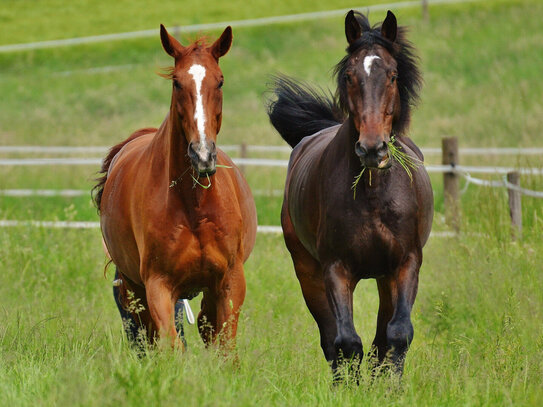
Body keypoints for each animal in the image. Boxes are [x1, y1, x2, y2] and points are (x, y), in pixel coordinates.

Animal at [94, 25, 258, 350]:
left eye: (220, 81)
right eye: (177, 83)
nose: (203, 154)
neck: (194, 205)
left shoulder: (230, 281)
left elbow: (224, 347)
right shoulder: (158, 285)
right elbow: (172, 345)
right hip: (135, 289)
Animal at [268, 11, 434, 376]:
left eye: (393, 75)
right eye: (349, 76)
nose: (372, 148)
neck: (373, 196)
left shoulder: (406, 263)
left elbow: (397, 334)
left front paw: (391, 384)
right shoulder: (335, 269)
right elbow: (345, 342)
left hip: (385, 278)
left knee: (382, 336)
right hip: (308, 273)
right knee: (332, 339)